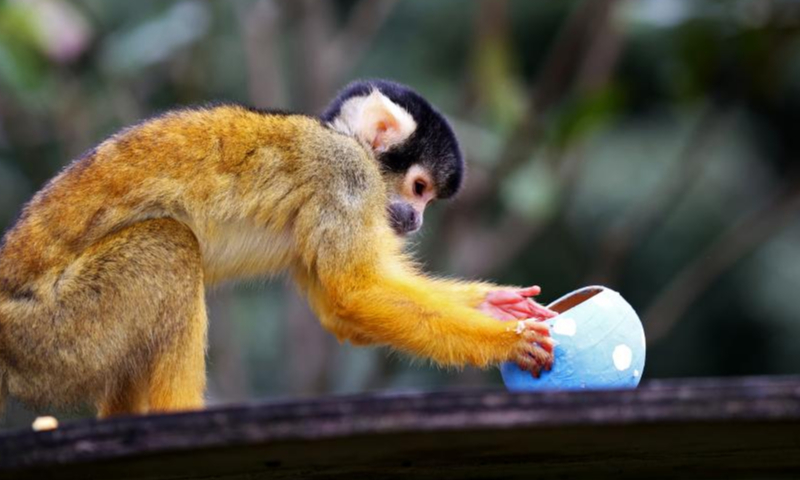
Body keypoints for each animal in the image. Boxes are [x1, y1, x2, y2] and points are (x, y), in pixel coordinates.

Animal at [0, 79, 555, 418]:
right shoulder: (345, 179)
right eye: (419, 189)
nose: (417, 219)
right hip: (54, 333)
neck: (346, 143)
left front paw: (496, 305)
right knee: (169, 246)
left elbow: (339, 311)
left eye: (429, 199)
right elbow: (355, 294)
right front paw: (507, 340)